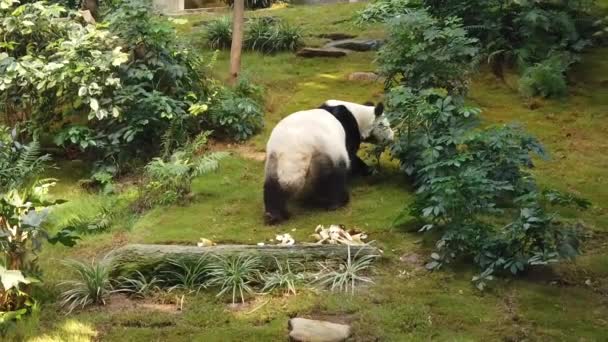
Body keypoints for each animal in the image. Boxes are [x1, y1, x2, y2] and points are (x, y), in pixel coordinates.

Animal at [262, 99, 394, 224]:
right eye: (384, 125)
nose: (391, 138)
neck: (358, 114)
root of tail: (295, 147)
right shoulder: (349, 128)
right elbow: (351, 155)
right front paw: (369, 170)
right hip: (326, 151)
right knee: (335, 176)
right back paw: (338, 202)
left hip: (274, 158)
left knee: (272, 185)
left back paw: (274, 215)